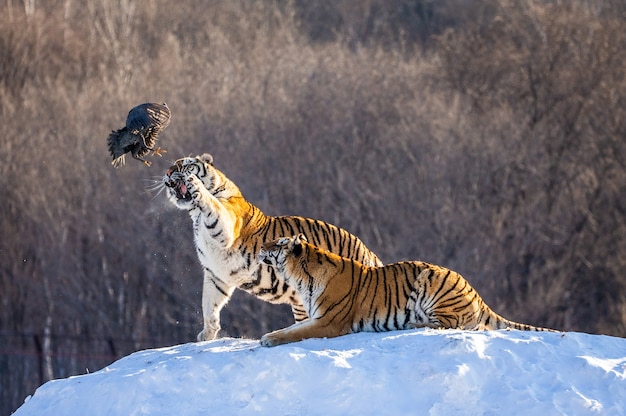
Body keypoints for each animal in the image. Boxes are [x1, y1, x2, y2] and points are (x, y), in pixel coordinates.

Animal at [162, 153, 380, 342]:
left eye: (186, 164)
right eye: (172, 165)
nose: (168, 172)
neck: (195, 216)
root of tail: (369, 254)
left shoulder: (225, 229)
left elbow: (211, 204)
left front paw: (195, 183)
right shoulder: (216, 273)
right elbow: (209, 305)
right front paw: (207, 334)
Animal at [256, 234, 552, 348]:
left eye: (277, 243)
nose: (260, 246)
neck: (299, 277)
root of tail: (477, 295)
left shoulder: (328, 321)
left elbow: (295, 333)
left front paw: (269, 339)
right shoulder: (315, 317)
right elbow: (291, 328)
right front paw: (270, 335)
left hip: (431, 281)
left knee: (449, 324)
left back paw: (414, 323)